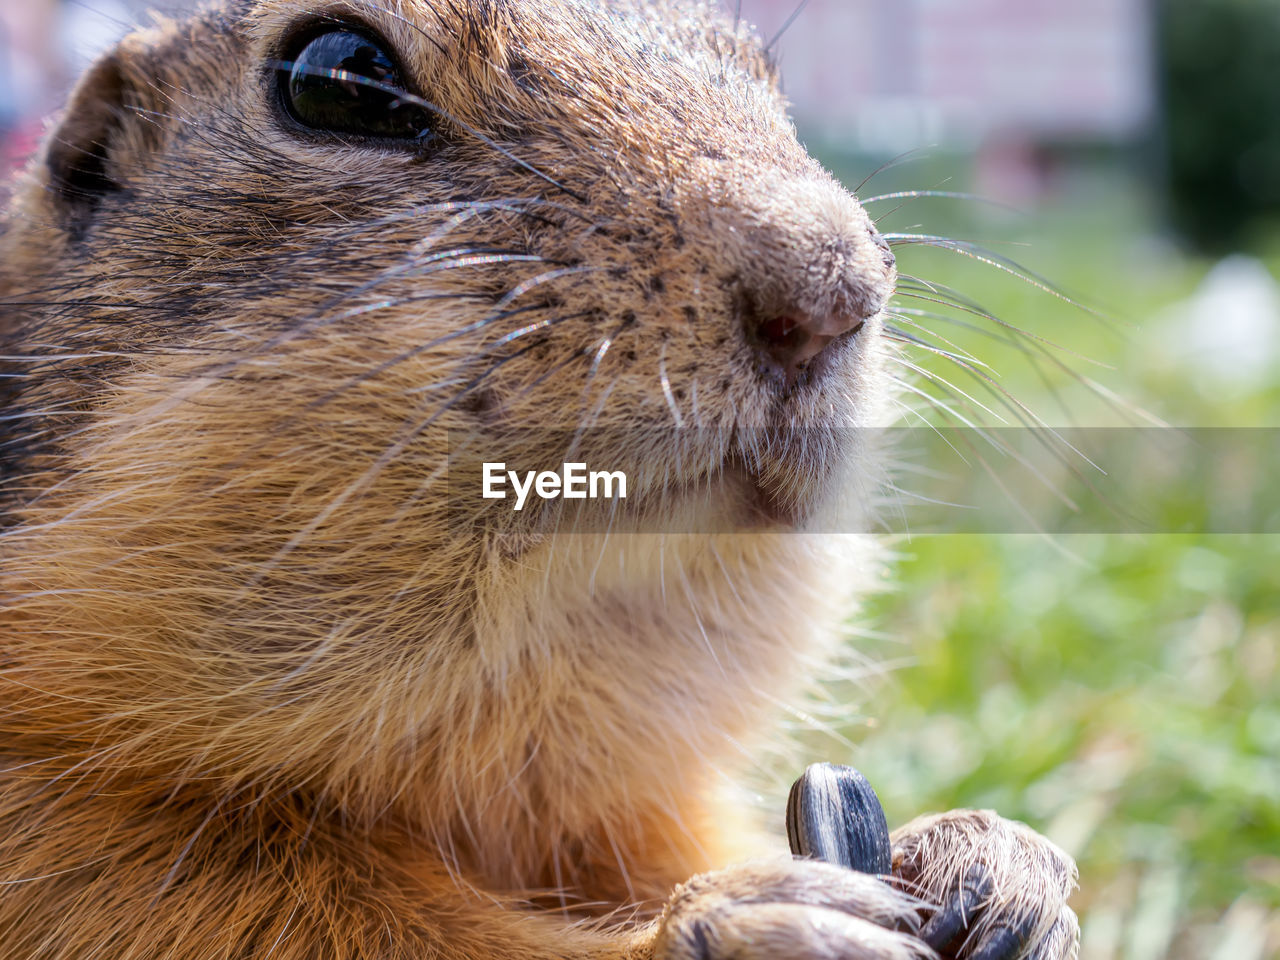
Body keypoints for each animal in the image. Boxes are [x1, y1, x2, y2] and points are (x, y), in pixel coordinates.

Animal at [0, 0, 1080, 957]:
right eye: (335, 77)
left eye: (760, 71)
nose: (833, 286)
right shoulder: (82, 843)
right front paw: (750, 925)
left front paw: (992, 861)